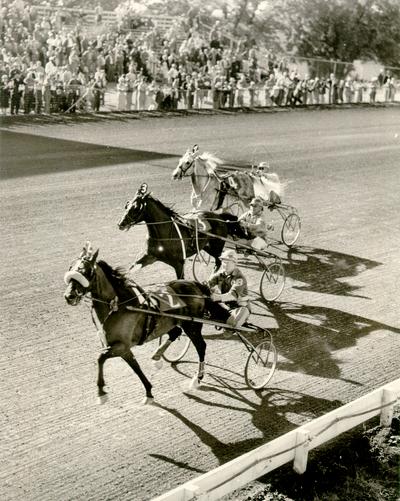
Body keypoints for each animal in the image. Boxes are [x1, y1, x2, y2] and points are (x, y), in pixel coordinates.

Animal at [63, 240, 212, 404]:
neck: (118, 306)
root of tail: (195, 284)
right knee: (175, 332)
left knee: (201, 346)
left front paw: (101, 393)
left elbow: (100, 358)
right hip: (172, 322)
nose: (69, 296)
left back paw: (197, 378)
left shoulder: (121, 345)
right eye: (71, 268)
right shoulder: (123, 348)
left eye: (86, 271)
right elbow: (135, 367)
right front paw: (149, 392)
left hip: (192, 325)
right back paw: (157, 356)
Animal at [117, 183, 245, 280]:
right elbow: (129, 270)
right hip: (207, 247)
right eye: (127, 205)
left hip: (217, 245)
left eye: (135, 207)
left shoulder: (179, 263)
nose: (120, 224)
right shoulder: (149, 257)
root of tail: (219, 217)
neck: (164, 236)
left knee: (219, 261)